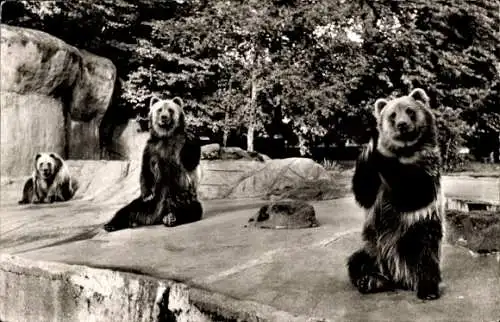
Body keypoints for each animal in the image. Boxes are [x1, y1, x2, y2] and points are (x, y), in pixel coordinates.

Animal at [104, 95, 202, 231]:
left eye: (170, 110)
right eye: (160, 109)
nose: (164, 117)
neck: (166, 136)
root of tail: (156, 216)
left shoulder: (178, 146)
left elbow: (189, 162)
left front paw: (193, 135)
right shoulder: (152, 148)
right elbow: (146, 170)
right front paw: (147, 193)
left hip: (183, 197)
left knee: (192, 210)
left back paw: (170, 218)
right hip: (149, 202)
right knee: (128, 209)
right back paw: (113, 224)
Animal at [348, 87, 446, 300]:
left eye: (410, 111)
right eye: (392, 114)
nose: (402, 125)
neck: (405, 152)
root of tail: (397, 274)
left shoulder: (425, 169)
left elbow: (411, 193)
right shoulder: (375, 186)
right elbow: (363, 191)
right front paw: (372, 144)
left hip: (415, 234)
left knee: (426, 260)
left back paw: (427, 289)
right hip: (373, 247)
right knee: (357, 260)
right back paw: (370, 281)